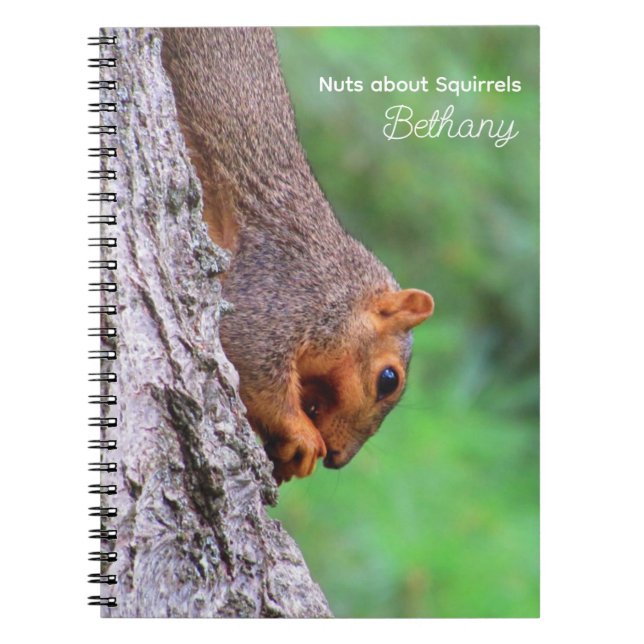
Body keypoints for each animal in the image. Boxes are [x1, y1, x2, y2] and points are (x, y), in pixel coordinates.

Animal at [160, 28, 434, 483]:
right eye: (388, 380)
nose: (338, 458)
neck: (339, 290)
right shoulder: (276, 295)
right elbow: (253, 363)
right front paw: (302, 436)